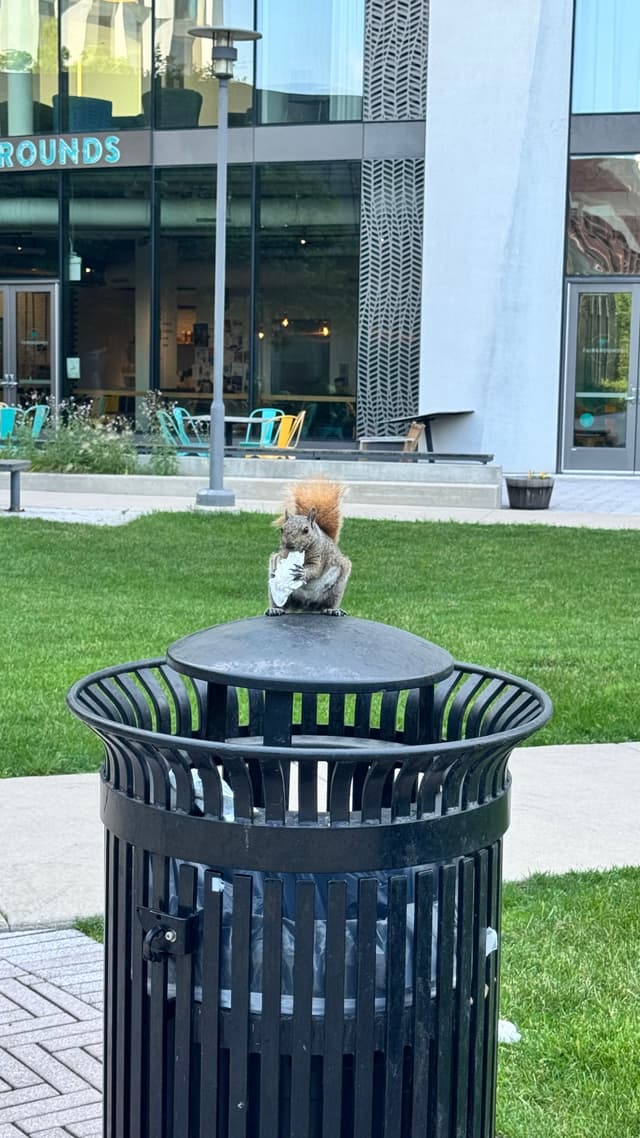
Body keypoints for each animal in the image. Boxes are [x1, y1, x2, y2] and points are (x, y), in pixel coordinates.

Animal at [266, 480, 352, 616]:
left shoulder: (320, 556)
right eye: (282, 529)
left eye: (306, 530)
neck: (302, 551)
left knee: (331, 601)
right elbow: (280, 558)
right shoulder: (283, 553)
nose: (289, 545)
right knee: (281, 603)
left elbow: (315, 569)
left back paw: (332, 610)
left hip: (337, 587)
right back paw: (275, 609)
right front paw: (279, 565)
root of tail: (306, 605)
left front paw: (303, 572)